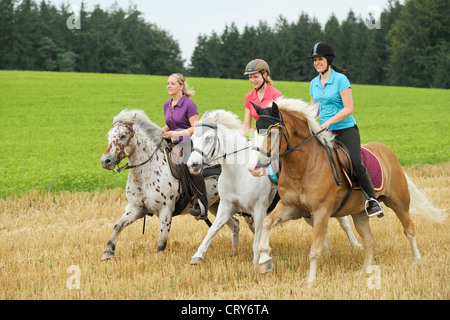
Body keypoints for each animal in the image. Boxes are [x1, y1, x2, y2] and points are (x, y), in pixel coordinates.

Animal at [100, 110, 241, 260]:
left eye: (123, 135)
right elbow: (118, 225)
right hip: (217, 205)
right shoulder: (136, 208)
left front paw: (160, 262)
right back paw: (234, 253)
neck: (146, 173)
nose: (105, 161)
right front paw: (107, 253)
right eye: (108, 135)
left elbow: (161, 242)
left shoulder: (165, 210)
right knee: (235, 224)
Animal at [186, 110, 362, 264]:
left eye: (208, 138)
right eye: (193, 138)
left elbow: (257, 239)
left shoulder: (259, 209)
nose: (192, 165)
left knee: (344, 223)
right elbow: (212, 230)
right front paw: (197, 257)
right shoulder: (227, 206)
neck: (238, 172)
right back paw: (325, 251)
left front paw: (257, 263)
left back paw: (356, 246)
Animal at [248, 98, 448, 288]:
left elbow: (315, 251)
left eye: (271, 133)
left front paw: (310, 281)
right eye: (255, 131)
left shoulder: (321, 212)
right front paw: (265, 260)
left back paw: (416, 261)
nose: (254, 167)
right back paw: (364, 271)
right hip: (360, 213)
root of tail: (388, 152)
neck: (304, 165)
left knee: (409, 230)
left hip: (398, 202)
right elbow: (266, 222)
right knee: (370, 242)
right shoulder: (291, 207)